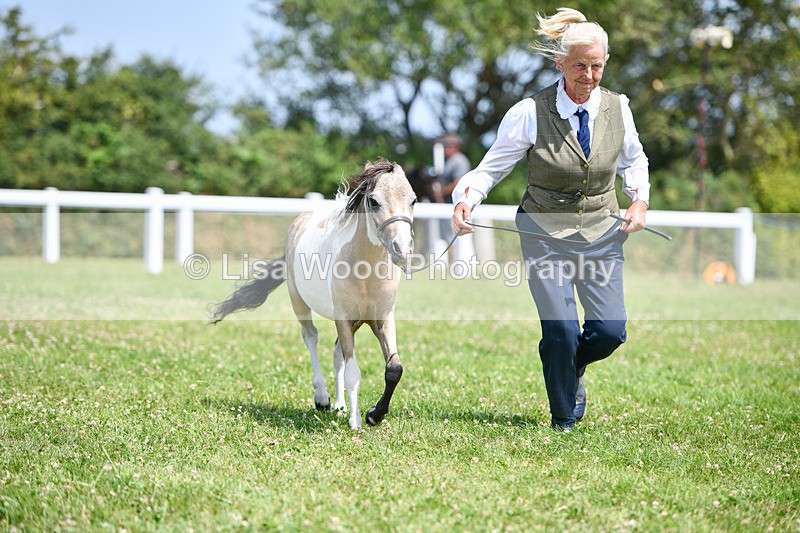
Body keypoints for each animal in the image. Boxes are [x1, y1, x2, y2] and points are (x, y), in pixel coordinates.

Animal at [212, 159, 417, 430]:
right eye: (373, 201)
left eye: (414, 200)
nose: (402, 251)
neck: (364, 271)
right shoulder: (343, 318)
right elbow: (353, 372)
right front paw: (356, 421)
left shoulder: (382, 319)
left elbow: (394, 369)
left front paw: (375, 414)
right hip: (299, 302)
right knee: (311, 337)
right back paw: (323, 399)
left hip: (353, 322)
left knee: (337, 353)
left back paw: (339, 405)